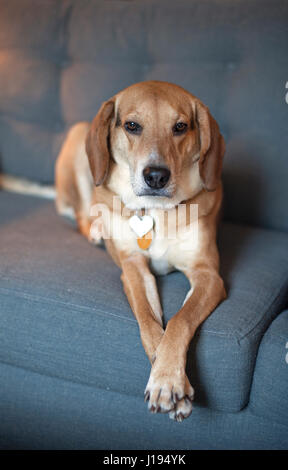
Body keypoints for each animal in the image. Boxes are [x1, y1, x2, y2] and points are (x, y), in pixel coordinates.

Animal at [55, 81, 227, 422]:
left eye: (180, 127)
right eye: (132, 126)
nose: (156, 176)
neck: (155, 211)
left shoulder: (208, 276)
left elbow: (178, 321)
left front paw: (168, 380)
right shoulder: (133, 267)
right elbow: (149, 323)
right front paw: (167, 381)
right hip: (79, 146)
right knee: (82, 211)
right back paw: (96, 229)